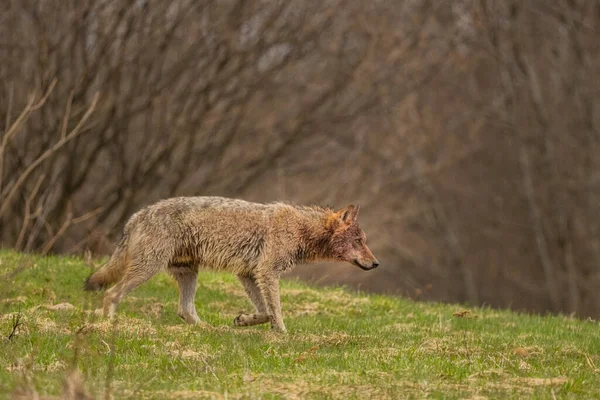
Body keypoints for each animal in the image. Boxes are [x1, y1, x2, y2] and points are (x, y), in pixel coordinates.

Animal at [83, 196, 380, 332]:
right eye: (359, 241)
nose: (376, 263)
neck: (301, 228)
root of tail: (138, 215)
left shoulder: (248, 274)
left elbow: (265, 312)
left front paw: (244, 321)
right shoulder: (266, 273)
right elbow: (276, 310)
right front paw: (283, 334)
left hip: (189, 274)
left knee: (184, 310)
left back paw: (210, 330)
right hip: (147, 270)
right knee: (111, 294)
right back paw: (108, 325)